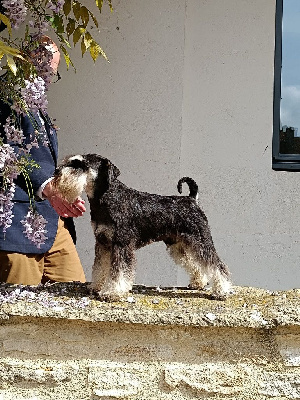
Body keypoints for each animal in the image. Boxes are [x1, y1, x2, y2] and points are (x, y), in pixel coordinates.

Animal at [53, 155, 232, 302]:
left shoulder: (121, 244)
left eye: (81, 165)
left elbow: (118, 271)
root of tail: (192, 199)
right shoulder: (103, 243)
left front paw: (112, 292)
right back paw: (198, 282)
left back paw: (222, 290)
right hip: (179, 245)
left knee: (216, 264)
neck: (106, 198)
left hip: (200, 241)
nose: (56, 172)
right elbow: (99, 267)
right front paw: (96, 286)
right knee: (195, 263)